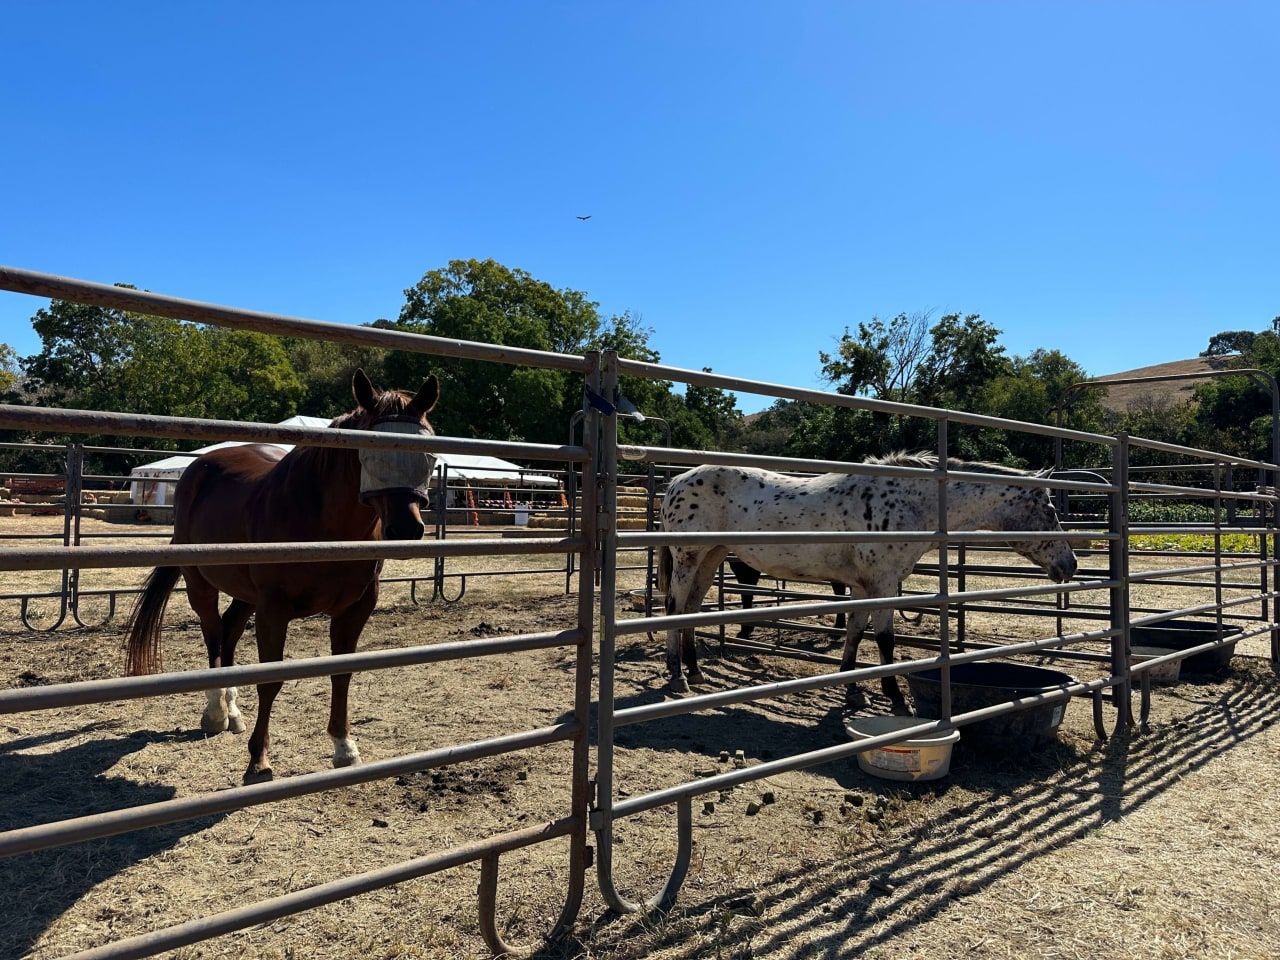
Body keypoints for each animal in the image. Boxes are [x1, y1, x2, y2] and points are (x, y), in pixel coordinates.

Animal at [126, 368, 440, 783]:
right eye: (369, 451)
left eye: (429, 456)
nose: (406, 528)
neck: (324, 524)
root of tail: (200, 467)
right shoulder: (274, 610)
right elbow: (271, 680)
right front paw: (258, 761)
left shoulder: (356, 608)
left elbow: (342, 673)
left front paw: (344, 747)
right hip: (201, 585)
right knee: (213, 635)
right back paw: (215, 712)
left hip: (245, 594)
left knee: (229, 631)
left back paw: (233, 712)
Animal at [655, 453, 1075, 716]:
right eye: (1050, 510)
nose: (1068, 565)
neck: (906, 502)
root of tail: (677, 481)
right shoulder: (884, 585)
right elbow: (886, 640)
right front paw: (895, 698)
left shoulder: (862, 587)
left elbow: (855, 633)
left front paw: (853, 690)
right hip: (688, 558)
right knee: (675, 609)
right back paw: (678, 677)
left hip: (711, 558)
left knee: (690, 611)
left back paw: (695, 671)